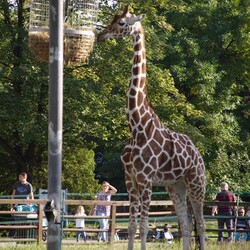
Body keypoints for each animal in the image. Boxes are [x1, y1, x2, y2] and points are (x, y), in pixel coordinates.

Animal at [97, 4, 205, 250]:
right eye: (113, 19)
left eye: (122, 23)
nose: (101, 35)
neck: (137, 126)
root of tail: (198, 154)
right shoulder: (130, 179)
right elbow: (132, 226)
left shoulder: (146, 179)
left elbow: (144, 227)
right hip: (176, 186)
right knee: (186, 225)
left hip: (196, 183)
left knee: (202, 226)